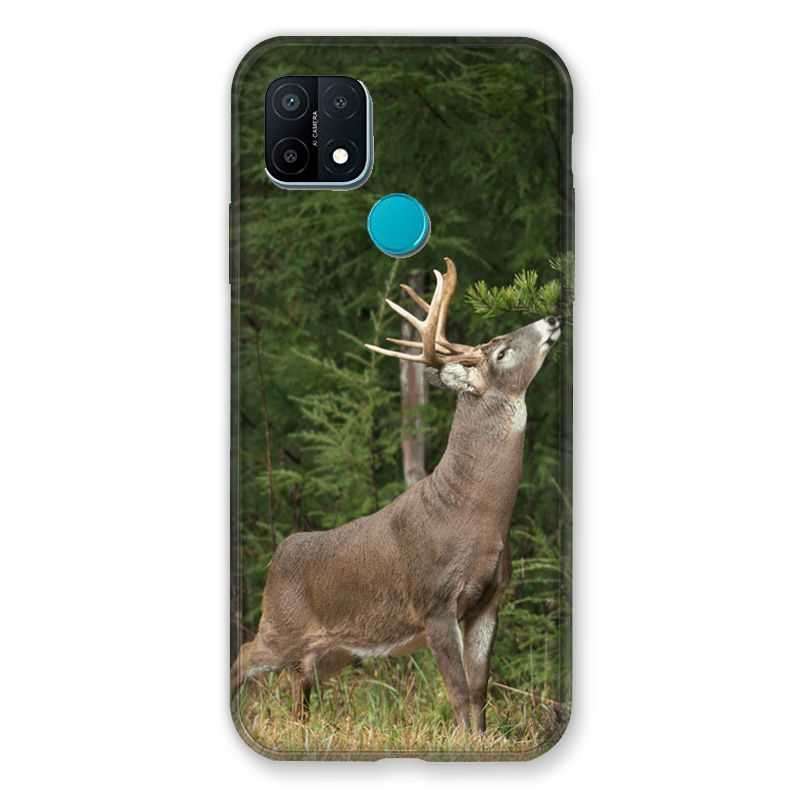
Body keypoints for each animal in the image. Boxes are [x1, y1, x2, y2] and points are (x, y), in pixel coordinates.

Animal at [232, 257, 561, 732]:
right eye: (501, 352)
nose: (552, 318)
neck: (475, 515)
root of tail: (278, 556)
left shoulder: (490, 600)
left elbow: (480, 691)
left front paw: (482, 740)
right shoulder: (435, 602)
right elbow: (458, 691)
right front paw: (463, 741)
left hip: (333, 650)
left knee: (299, 684)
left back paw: (303, 728)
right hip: (280, 624)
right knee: (244, 656)